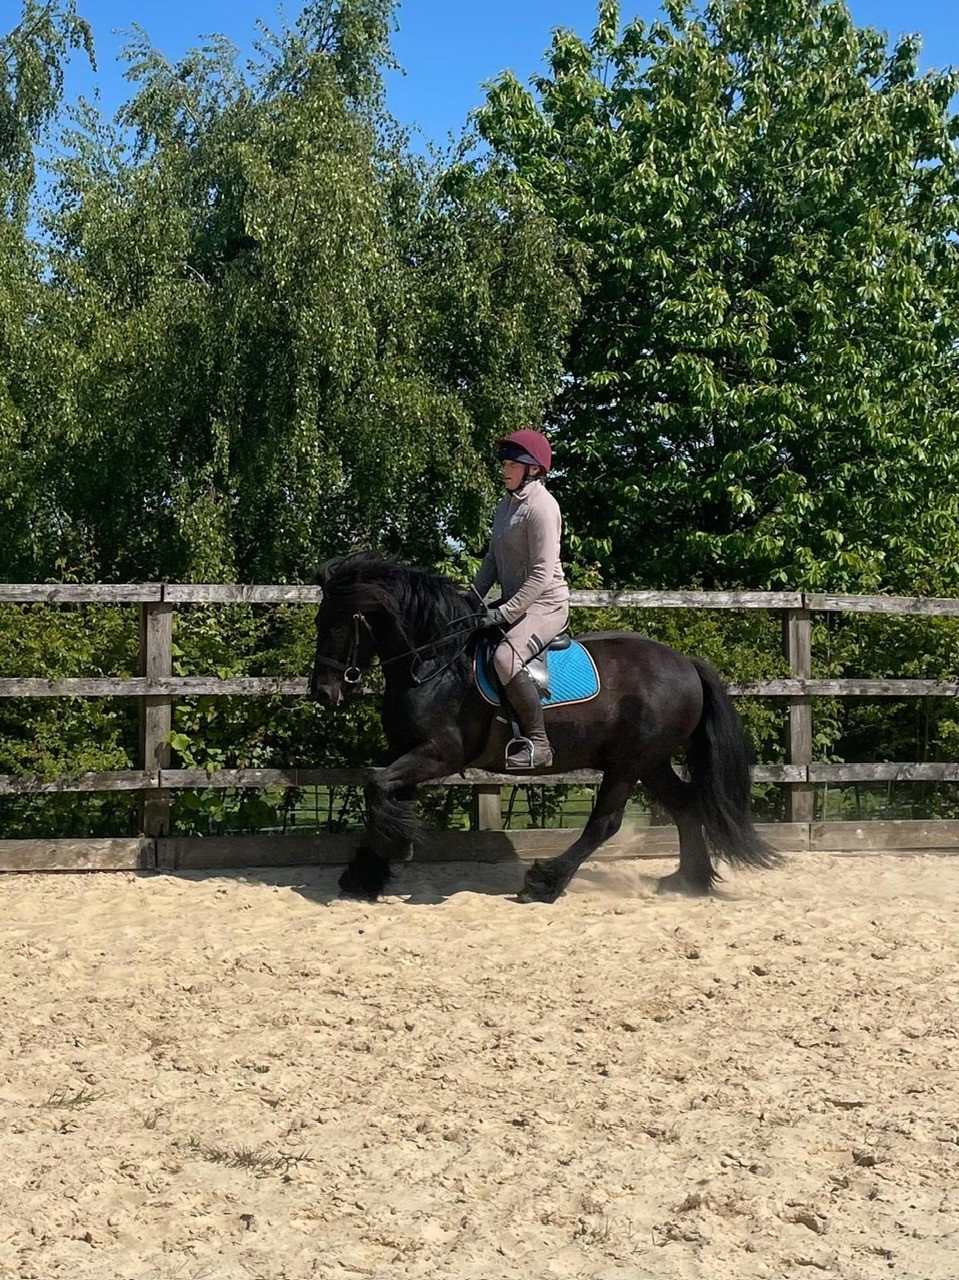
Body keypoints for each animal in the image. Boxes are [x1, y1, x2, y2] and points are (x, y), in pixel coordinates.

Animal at [308, 551, 779, 903]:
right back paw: (689, 880)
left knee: (605, 824)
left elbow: (376, 788)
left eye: (335, 623)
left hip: (628, 763)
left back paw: (545, 882)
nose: (322, 691)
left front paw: (394, 848)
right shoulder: (406, 749)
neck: (434, 664)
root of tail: (686, 664)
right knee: (686, 806)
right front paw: (365, 874)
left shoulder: (439, 754)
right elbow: (382, 794)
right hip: (651, 762)